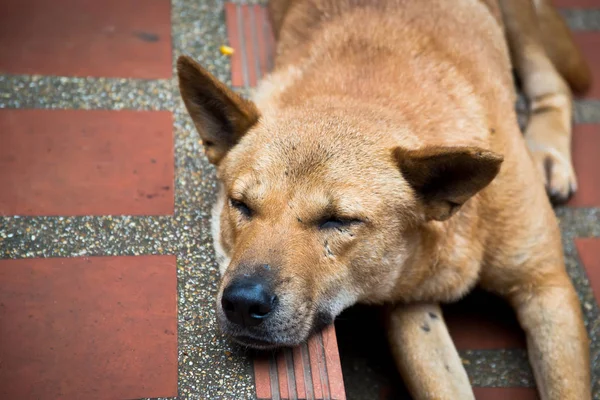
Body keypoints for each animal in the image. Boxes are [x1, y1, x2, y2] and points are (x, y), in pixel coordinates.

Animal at [177, 0, 592, 396]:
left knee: (552, 81)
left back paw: (548, 152)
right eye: (241, 205)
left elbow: (567, 386)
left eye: (339, 220)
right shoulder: (410, 308)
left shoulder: (546, 287)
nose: (244, 303)